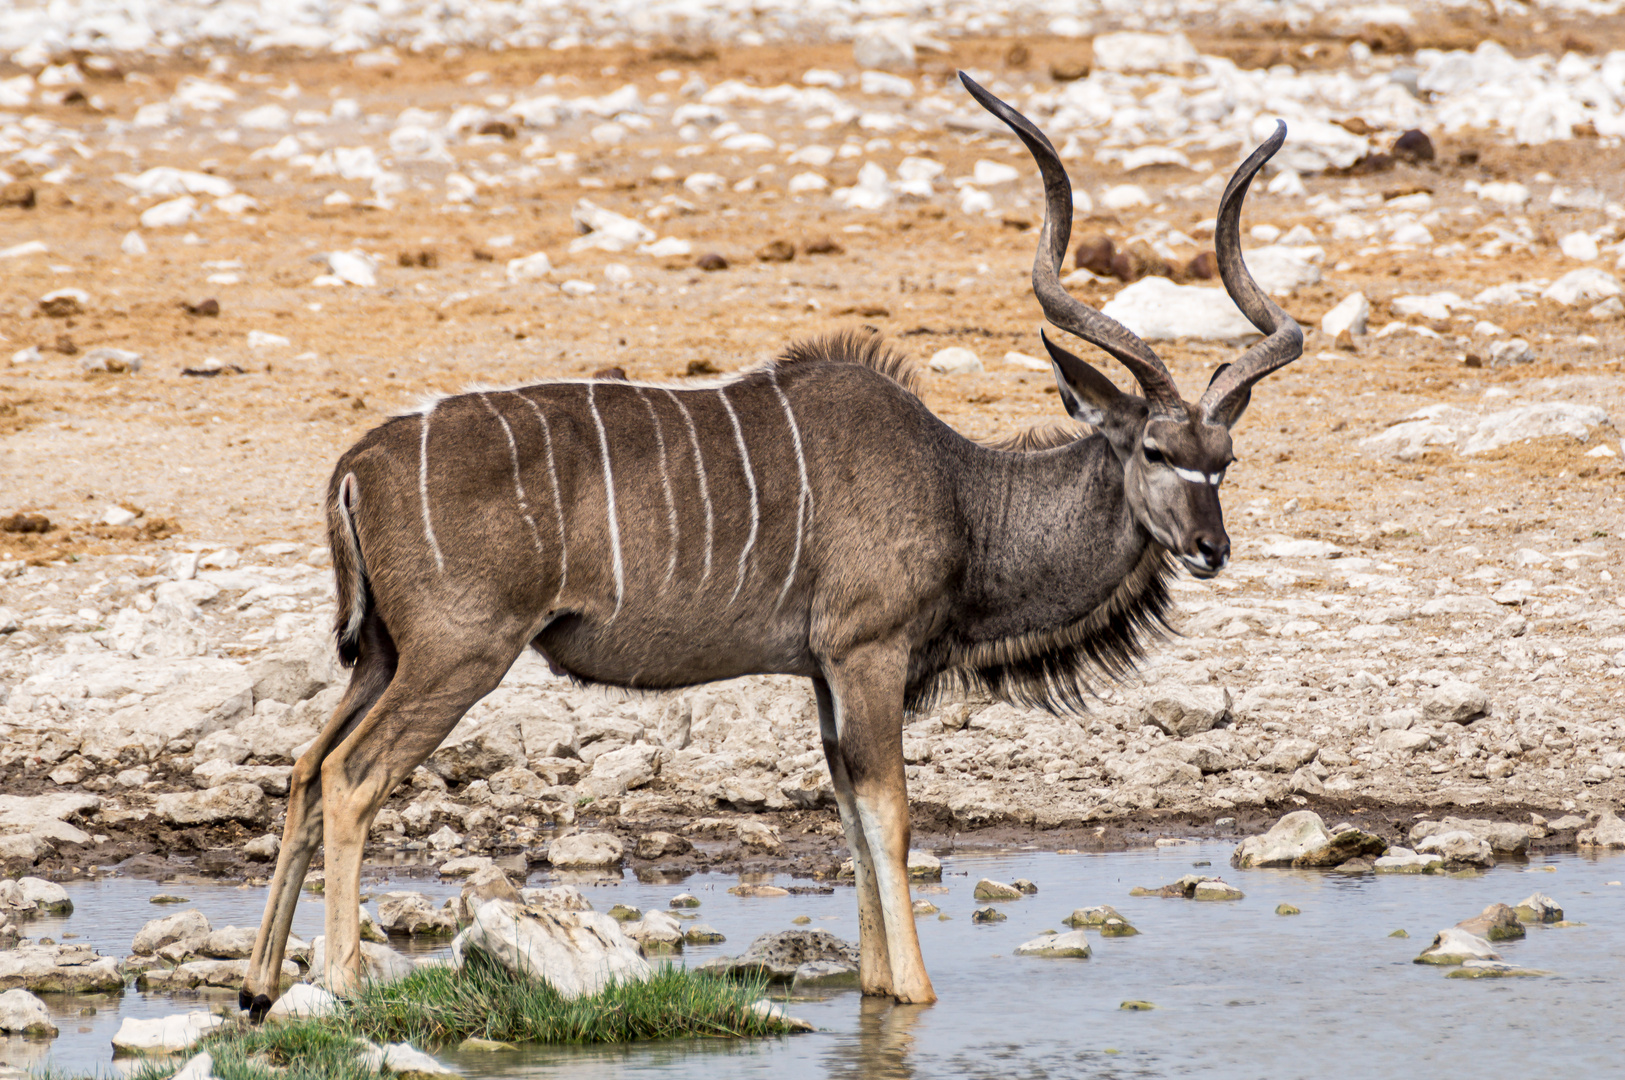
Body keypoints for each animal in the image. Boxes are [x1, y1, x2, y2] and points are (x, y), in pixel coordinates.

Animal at [240, 73, 1300, 1013]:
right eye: (1155, 449)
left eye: (1226, 457)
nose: (1209, 549)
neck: (960, 488)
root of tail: (357, 463)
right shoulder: (867, 654)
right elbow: (890, 815)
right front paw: (913, 993)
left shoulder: (824, 674)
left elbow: (849, 815)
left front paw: (875, 986)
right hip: (459, 655)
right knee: (352, 778)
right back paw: (341, 986)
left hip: (384, 657)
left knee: (303, 770)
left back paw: (258, 990)